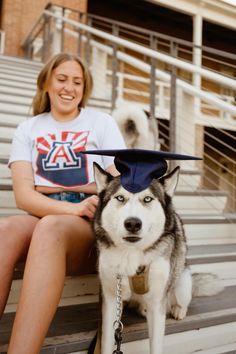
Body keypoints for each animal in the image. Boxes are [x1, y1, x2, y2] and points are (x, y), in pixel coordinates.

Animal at [91, 162, 223, 354]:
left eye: (147, 199)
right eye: (120, 198)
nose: (132, 223)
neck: (131, 255)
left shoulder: (157, 303)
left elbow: (156, 344)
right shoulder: (110, 300)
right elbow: (107, 343)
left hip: (181, 282)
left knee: (182, 300)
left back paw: (178, 310)